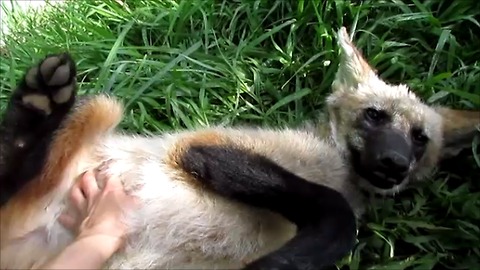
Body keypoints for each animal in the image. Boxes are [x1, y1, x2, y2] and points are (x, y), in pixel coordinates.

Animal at [0, 28, 480, 270]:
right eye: (375, 115)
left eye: (420, 138)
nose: (394, 164)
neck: (330, 165)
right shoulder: (197, 148)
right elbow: (337, 214)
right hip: (102, 110)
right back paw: (39, 100)